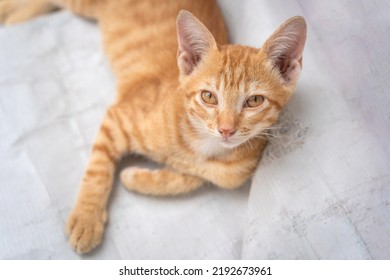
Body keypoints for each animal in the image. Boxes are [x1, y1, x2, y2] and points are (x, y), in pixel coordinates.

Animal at [0, 0, 308, 254]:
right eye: (209, 96)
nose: (226, 130)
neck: (201, 144)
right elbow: (98, 170)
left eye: (254, 101)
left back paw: (13, 17)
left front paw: (136, 177)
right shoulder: (118, 117)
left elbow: (189, 180)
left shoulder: (227, 175)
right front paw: (87, 218)